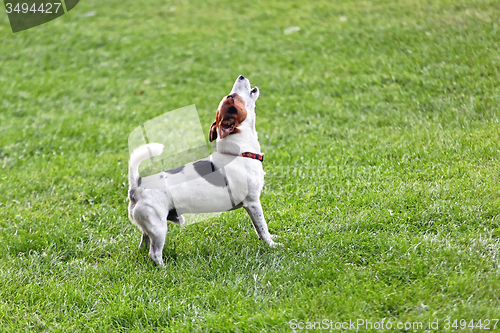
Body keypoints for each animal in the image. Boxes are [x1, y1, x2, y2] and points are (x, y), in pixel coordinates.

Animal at [127, 75, 282, 264]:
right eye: (231, 97)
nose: (241, 76)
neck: (240, 152)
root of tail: (137, 186)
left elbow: (260, 229)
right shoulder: (252, 202)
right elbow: (262, 227)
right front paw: (271, 244)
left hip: (148, 226)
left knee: (144, 242)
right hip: (158, 227)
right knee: (154, 253)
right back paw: (164, 267)